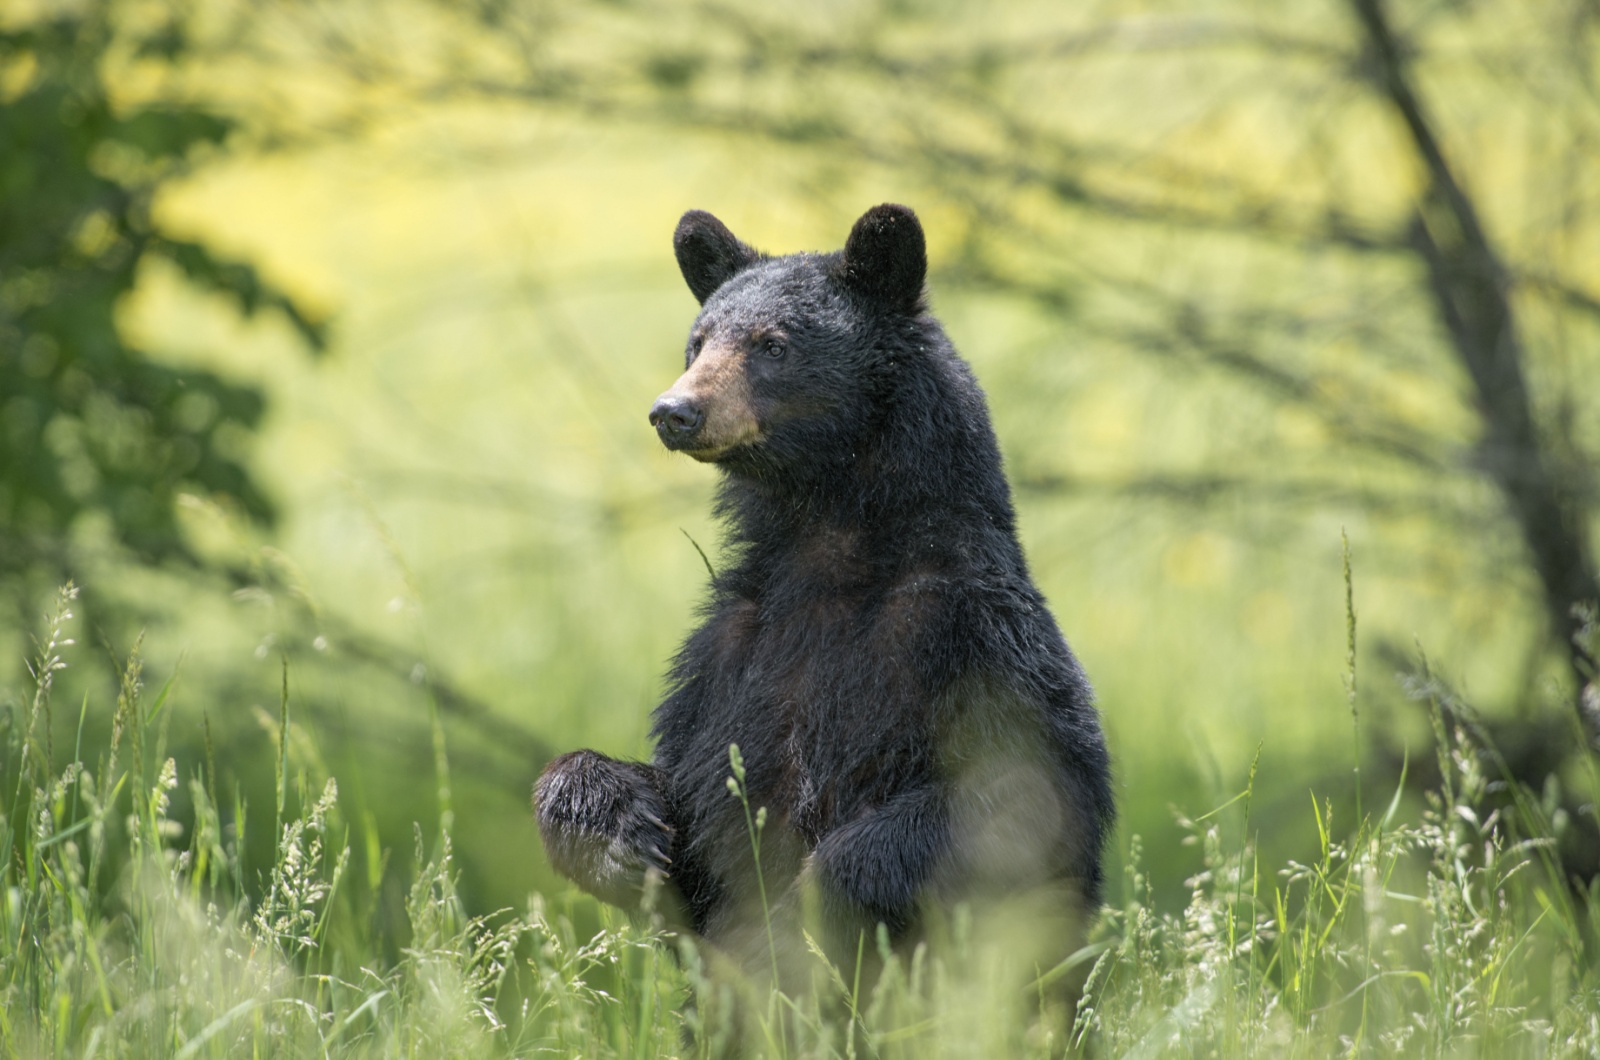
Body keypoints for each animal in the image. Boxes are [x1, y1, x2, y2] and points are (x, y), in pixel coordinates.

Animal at [537, 204, 1113, 979]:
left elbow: (1021, 792)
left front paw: (813, 908)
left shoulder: (973, 632)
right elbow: (691, 799)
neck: (829, 550)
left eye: (772, 344)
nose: (674, 411)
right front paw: (619, 834)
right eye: (697, 342)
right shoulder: (726, 657)